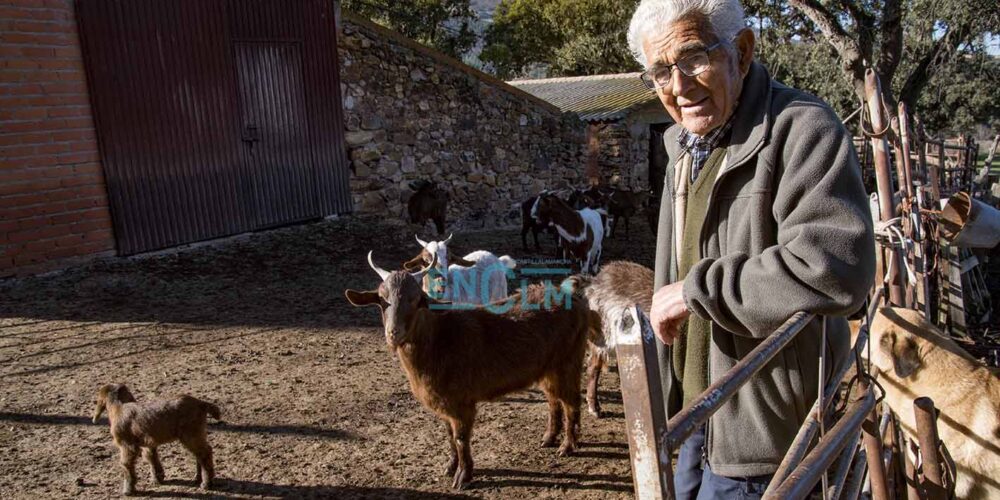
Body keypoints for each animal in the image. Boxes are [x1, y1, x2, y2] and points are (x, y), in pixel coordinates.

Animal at [92, 384, 221, 494]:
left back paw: (206, 483)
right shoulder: (148, 442)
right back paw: (198, 478)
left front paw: (128, 490)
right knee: (199, 453)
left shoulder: (127, 444)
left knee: (205, 452)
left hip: (191, 433)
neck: (119, 407)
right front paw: (158, 478)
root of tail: (201, 403)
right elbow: (151, 457)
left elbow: (126, 464)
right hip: (196, 433)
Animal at [348, 250, 588, 488]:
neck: (440, 340)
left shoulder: (462, 402)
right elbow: (449, 436)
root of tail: (571, 296)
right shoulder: (445, 404)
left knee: (571, 401)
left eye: (416, 300)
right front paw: (450, 467)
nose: (393, 333)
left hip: (568, 362)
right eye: (381, 300)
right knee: (554, 400)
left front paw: (463, 476)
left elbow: (461, 438)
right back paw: (548, 438)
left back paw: (567, 446)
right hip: (547, 368)